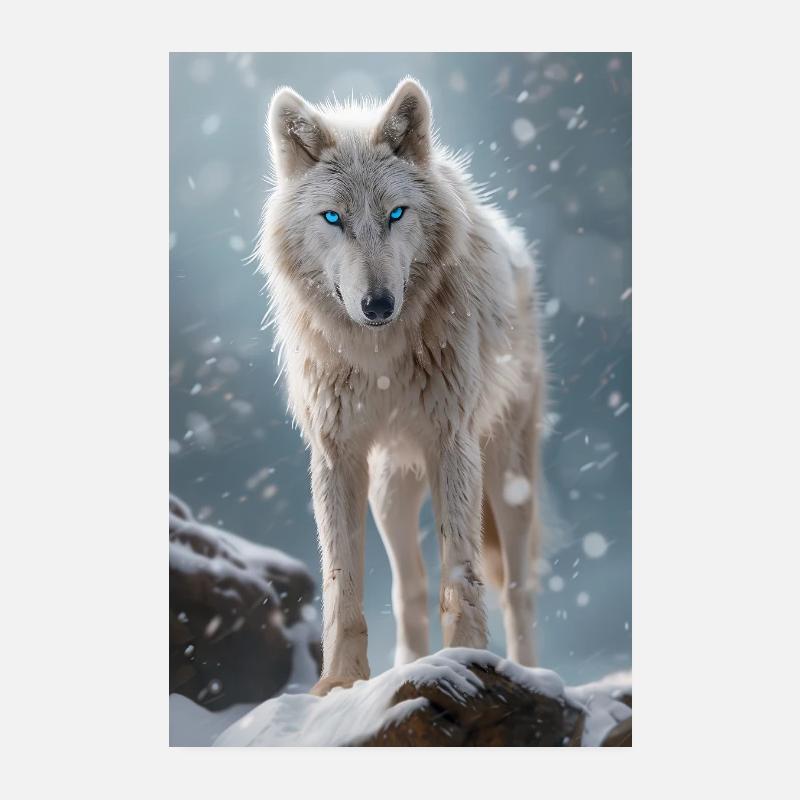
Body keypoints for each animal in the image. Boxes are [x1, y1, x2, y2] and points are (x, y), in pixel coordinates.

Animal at [260, 78, 546, 696]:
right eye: (333, 218)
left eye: (395, 213)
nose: (378, 304)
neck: (379, 359)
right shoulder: (336, 455)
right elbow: (343, 584)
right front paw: (339, 684)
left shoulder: (452, 442)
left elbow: (460, 574)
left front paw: (467, 658)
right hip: (391, 490)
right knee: (407, 588)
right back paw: (408, 668)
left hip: (508, 475)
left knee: (518, 589)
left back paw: (531, 672)